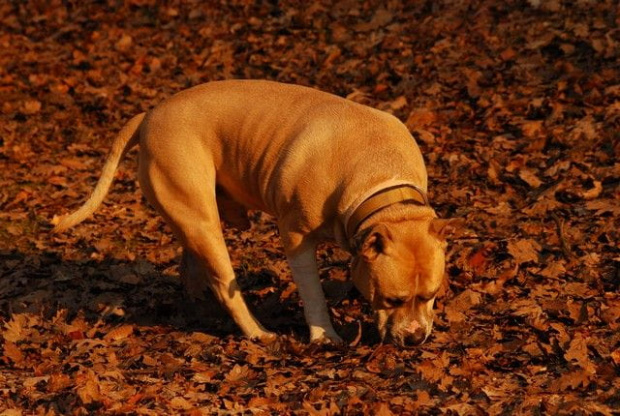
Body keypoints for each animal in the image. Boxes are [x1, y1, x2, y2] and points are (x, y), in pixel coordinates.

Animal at [53, 79, 458, 346]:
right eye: (393, 299)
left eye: (431, 295)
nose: (415, 338)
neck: (378, 181)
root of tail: (149, 115)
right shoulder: (295, 239)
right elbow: (313, 294)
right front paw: (324, 336)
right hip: (204, 223)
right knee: (224, 283)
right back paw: (257, 332)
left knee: (191, 263)